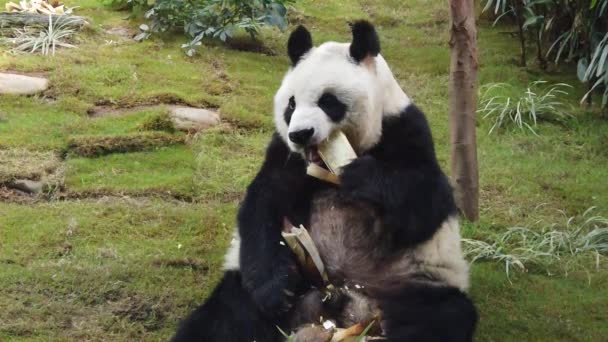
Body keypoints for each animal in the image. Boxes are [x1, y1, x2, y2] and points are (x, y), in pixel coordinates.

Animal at [173, 20, 478, 342]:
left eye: (328, 101)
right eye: (291, 105)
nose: (301, 134)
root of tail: (337, 302)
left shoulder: (405, 128)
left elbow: (427, 201)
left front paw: (361, 176)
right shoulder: (286, 154)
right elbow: (264, 204)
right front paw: (277, 292)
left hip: (413, 282)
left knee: (439, 317)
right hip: (250, 287)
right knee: (224, 318)